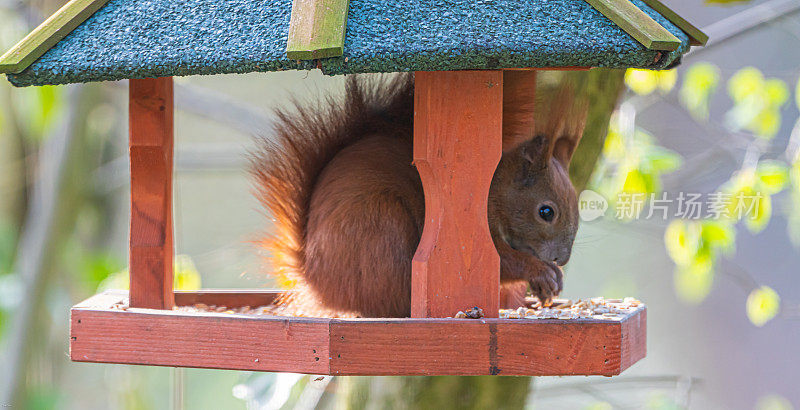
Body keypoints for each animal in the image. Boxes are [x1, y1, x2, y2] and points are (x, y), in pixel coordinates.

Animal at [250, 73, 588, 318]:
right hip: (381, 228)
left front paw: (548, 284)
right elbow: (503, 263)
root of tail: (315, 282)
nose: (562, 258)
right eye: (546, 212)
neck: (493, 190)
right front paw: (543, 273)